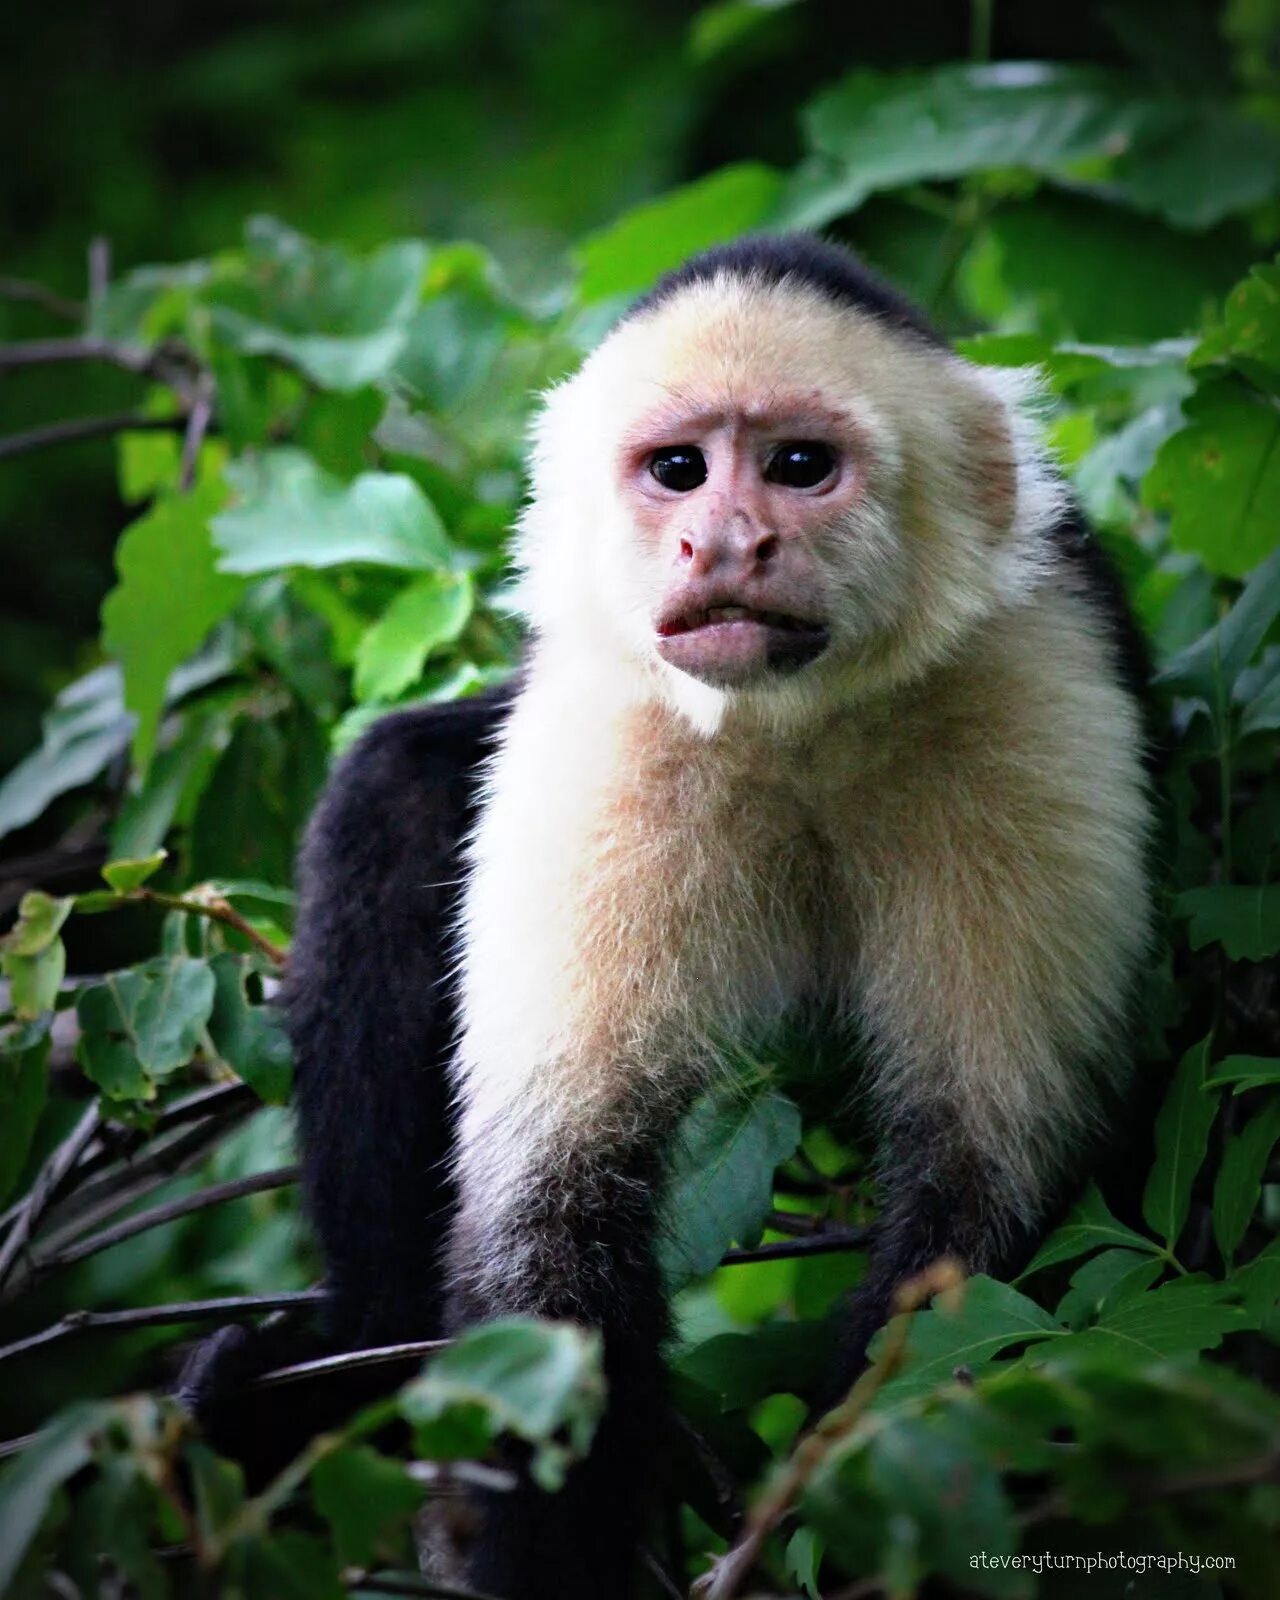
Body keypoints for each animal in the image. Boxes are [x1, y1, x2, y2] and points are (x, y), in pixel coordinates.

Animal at [184, 236, 1152, 1600]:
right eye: (677, 470)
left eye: (798, 465)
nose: (723, 541)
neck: (797, 719)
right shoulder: (604, 725)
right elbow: (552, 1206)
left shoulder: (1035, 679)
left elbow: (985, 1197)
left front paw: (835, 1507)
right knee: (395, 791)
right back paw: (343, 1381)